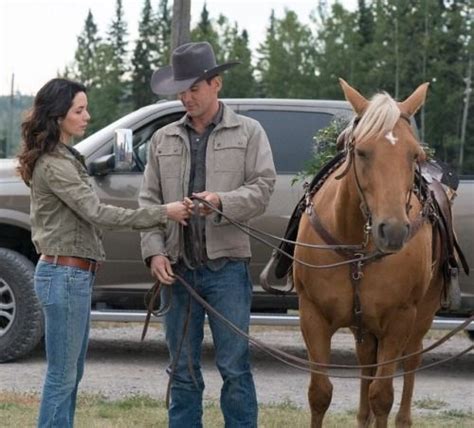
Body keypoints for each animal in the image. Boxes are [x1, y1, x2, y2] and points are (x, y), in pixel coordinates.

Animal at [292, 80, 444, 428]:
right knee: (366, 365)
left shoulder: (400, 319)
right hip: (364, 329)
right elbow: (320, 393)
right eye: (361, 151)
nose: (394, 230)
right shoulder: (312, 315)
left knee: (411, 362)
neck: (357, 249)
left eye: (414, 155)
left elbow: (383, 395)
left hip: (421, 316)